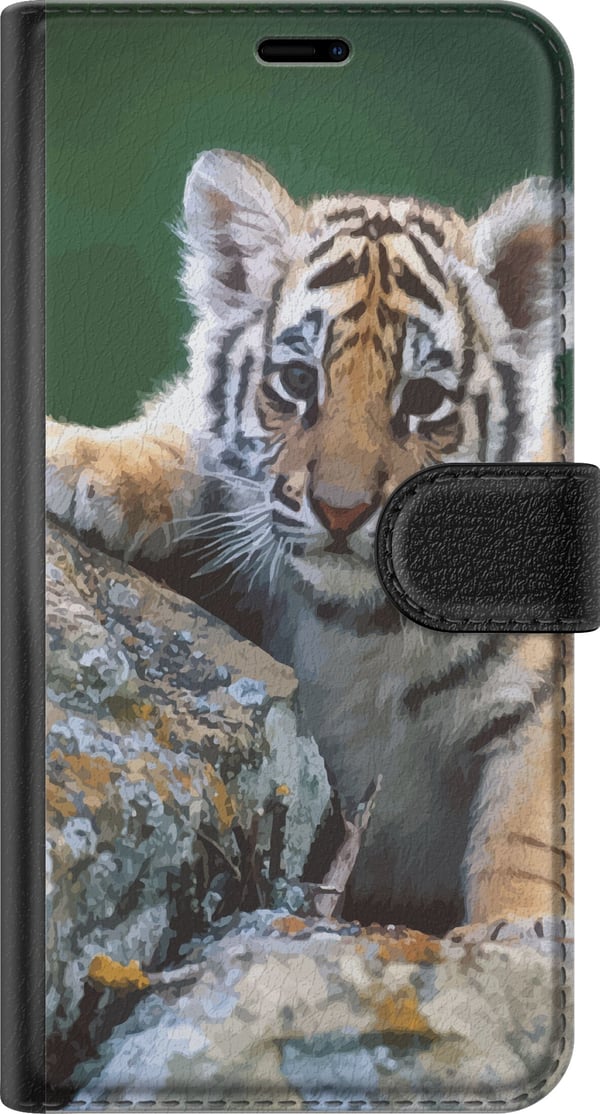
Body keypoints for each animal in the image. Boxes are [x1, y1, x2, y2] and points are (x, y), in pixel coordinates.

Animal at [46, 149, 573, 935]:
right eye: (298, 380)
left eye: (423, 399)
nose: (341, 511)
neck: (363, 627)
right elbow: (183, 436)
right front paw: (80, 460)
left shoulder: (540, 707)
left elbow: (527, 837)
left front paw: (516, 928)